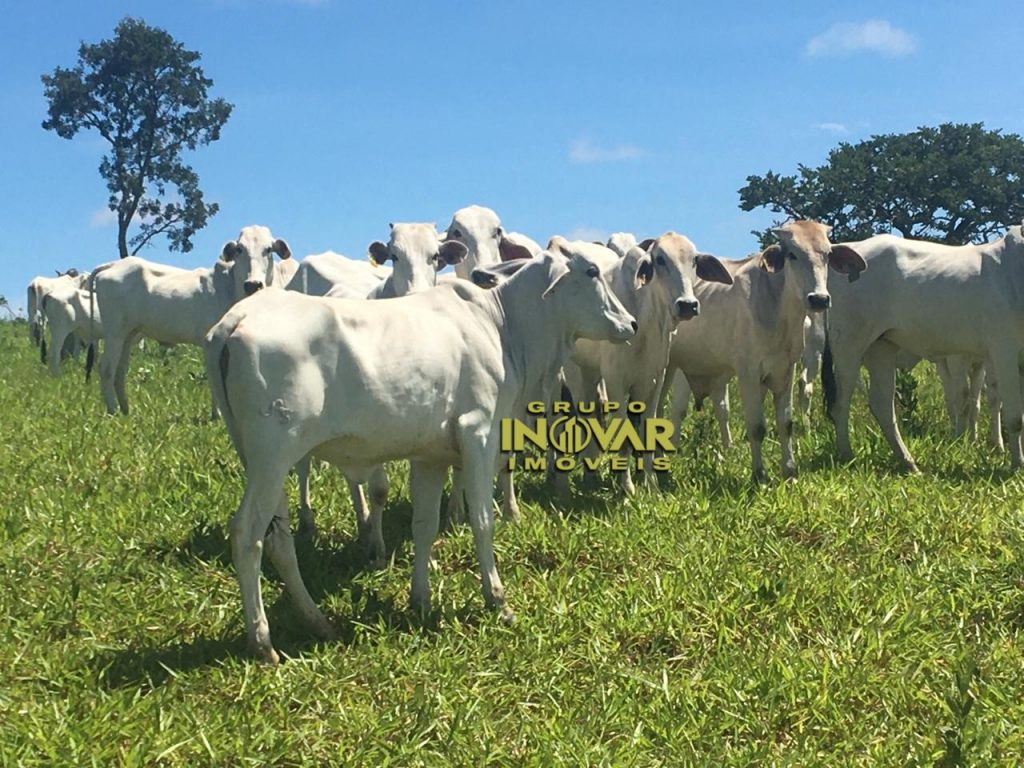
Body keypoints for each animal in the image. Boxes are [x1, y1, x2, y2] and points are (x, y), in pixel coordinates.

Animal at [93, 225, 292, 415]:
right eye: (240, 249)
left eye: (268, 249)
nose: (253, 285)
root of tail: (112, 265)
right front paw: (217, 414)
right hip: (114, 333)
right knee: (107, 369)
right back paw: (113, 411)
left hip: (128, 335)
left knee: (120, 371)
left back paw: (126, 410)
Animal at [206, 249, 634, 663]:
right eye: (592, 271)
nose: (630, 323)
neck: (502, 326)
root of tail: (235, 318)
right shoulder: (478, 433)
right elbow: (482, 520)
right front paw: (497, 600)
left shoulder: (431, 456)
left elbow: (424, 526)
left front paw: (421, 600)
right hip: (273, 455)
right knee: (247, 534)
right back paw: (263, 643)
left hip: (264, 463)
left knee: (278, 540)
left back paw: (317, 621)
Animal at [663, 221, 864, 481]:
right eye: (792, 255)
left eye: (828, 254)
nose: (819, 299)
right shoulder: (748, 372)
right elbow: (756, 427)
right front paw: (759, 475)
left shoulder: (785, 370)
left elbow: (785, 423)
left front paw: (790, 470)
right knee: (671, 410)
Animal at [827, 222, 1024, 473]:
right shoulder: (1003, 351)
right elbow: (1015, 418)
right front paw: (1017, 464)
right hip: (849, 344)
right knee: (840, 403)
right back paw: (846, 455)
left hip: (881, 346)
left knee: (882, 405)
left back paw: (909, 463)